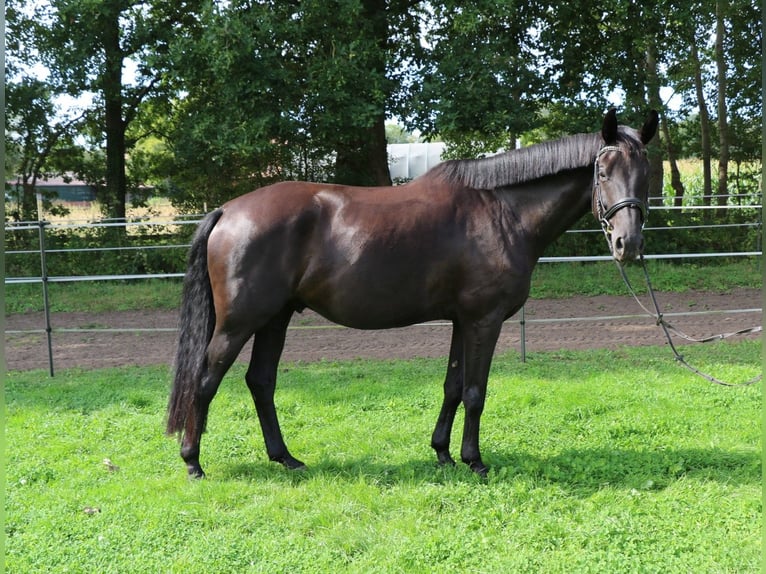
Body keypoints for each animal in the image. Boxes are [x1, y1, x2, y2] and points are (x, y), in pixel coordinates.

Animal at [166, 109, 660, 482]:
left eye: (646, 174)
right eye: (602, 171)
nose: (628, 244)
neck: (503, 211)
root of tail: (229, 210)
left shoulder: (463, 320)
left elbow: (453, 386)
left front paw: (442, 453)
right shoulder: (485, 320)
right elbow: (476, 391)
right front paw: (475, 461)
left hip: (276, 318)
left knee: (261, 382)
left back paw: (286, 458)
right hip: (240, 322)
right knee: (205, 380)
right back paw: (193, 462)